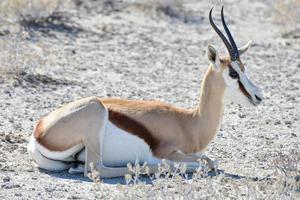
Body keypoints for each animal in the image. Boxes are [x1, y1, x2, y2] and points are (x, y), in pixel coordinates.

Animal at [28, 7, 262, 177]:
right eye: (233, 72)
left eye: (244, 68)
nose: (259, 96)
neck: (191, 123)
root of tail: (38, 131)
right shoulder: (168, 152)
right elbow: (210, 161)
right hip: (96, 112)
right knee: (96, 169)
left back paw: (76, 166)